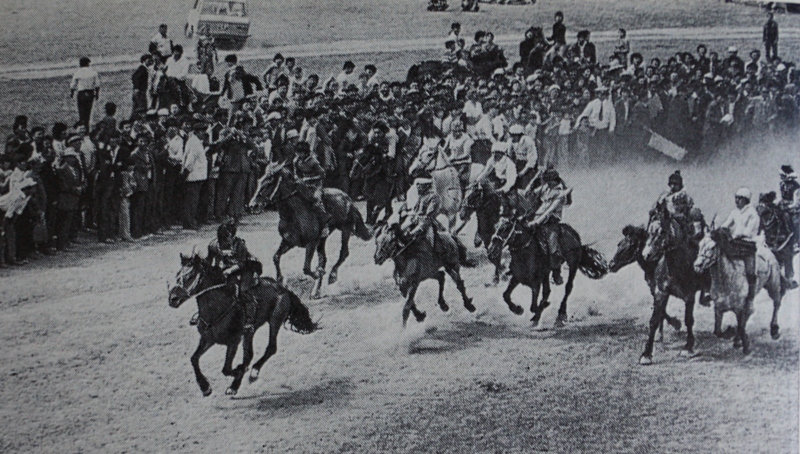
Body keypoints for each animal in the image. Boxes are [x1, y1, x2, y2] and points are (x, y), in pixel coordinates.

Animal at [167, 252, 318, 398]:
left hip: (275, 321)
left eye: (190, 276)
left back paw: (251, 374)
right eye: (177, 276)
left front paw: (238, 373)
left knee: (270, 348)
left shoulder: (233, 342)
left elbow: (226, 369)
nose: (172, 299)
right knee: (249, 355)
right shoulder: (207, 339)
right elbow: (194, 359)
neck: (217, 307)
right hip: (250, 331)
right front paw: (205, 388)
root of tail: (283, 288)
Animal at [248, 162, 374, 298]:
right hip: (323, 239)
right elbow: (276, 257)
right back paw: (316, 291)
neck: (294, 214)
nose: (253, 205)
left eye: (269, 182)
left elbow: (306, 268)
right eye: (259, 181)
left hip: (345, 229)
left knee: (343, 253)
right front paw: (280, 280)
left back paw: (332, 276)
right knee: (323, 259)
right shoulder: (288, 242)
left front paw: (318, 273)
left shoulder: (311, 243)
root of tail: (347, 197)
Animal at [608, 202, 704, 366]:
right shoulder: (659, 291)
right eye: (619, 243)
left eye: (631, 244)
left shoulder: (689, 295)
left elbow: (688, 319)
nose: (611, 264)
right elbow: (656, 317)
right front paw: (648, 352)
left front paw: (688, 346)